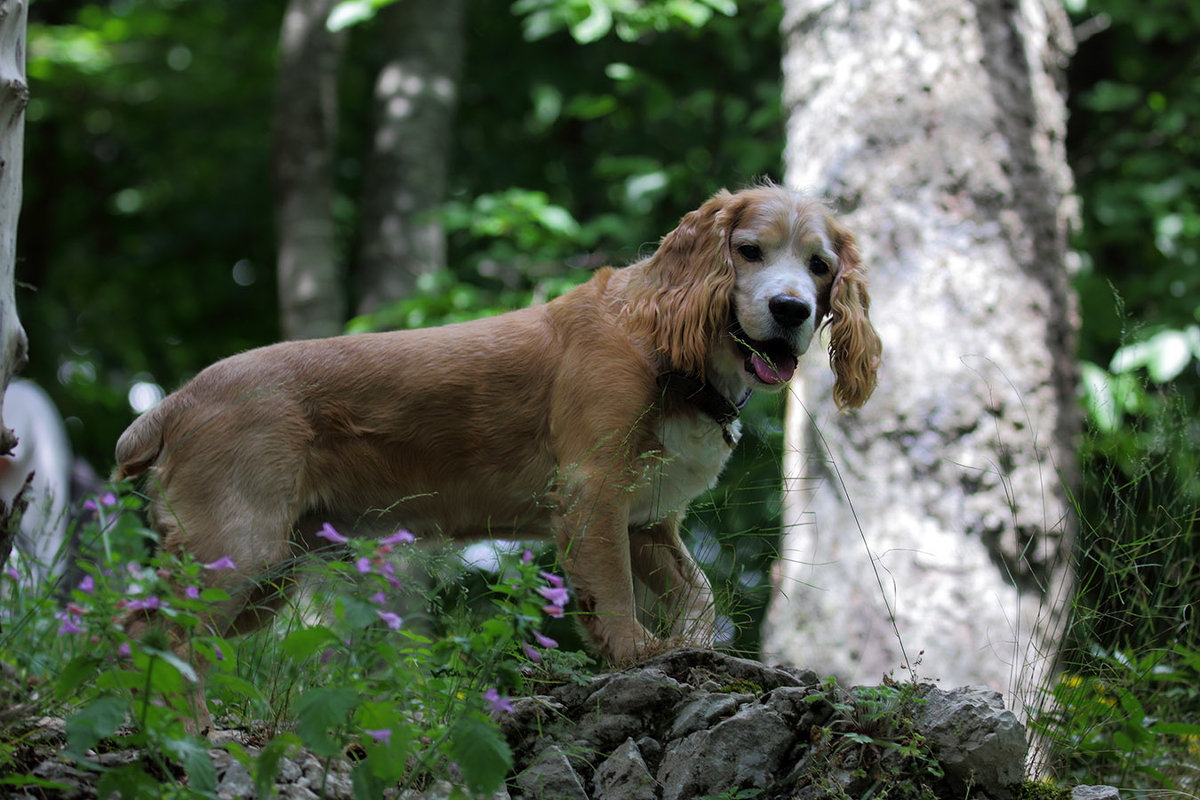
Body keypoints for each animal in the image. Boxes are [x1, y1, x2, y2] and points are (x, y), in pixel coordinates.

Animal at [112, 184, 883, 729]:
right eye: (749, 251)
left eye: (820, 267)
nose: (791, 310)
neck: (665, 344)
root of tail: (175, 400)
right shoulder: (594, 494)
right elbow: (617, 597)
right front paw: (639, 655)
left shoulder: (648, 523)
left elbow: (697, 593)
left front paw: (692, 648)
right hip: (236, 548)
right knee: (154, 630)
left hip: (267, 574)